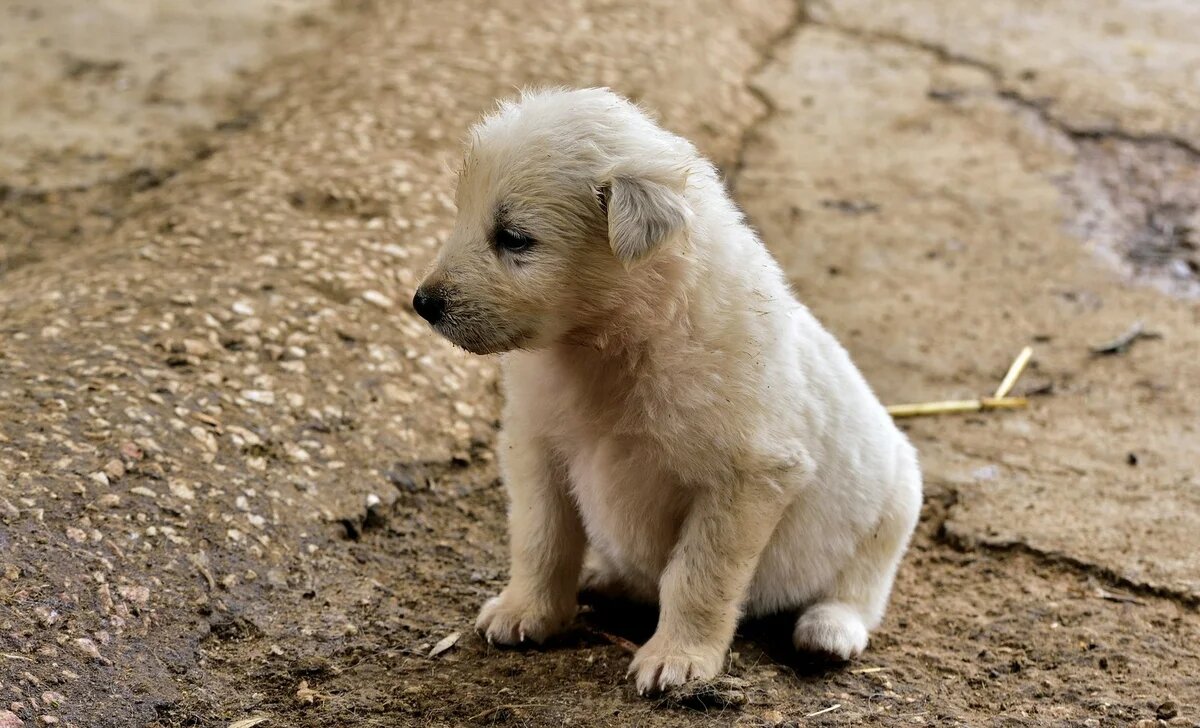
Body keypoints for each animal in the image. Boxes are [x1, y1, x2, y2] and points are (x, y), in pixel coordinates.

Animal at [412, 86, 916, 695]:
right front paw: (524, 611)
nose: (423, 303)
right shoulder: (535, 443)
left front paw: (678, 659)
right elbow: (541, 536)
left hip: (895, 504)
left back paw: (828, 631)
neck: (613, 343)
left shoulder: (749, 477)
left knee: (860, 589)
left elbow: (697, 574)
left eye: (514, 238)